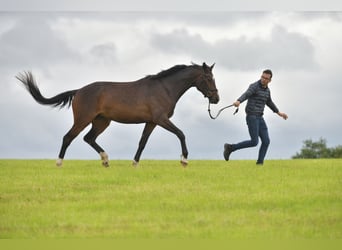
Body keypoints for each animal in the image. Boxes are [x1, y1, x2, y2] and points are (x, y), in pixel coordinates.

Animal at [16, 63, 219, 167]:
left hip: (102, 122)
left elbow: (142, 142)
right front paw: (184, 159)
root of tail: (79, 91)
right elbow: (181, 133)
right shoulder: (161, 119)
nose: (216, 98)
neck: (164, 88)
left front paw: (135, 163)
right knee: (68, 137)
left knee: (88, 138)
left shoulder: (151, 122)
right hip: (83, 119)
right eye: (208, 78)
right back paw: (59, 163)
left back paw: (105, 160)